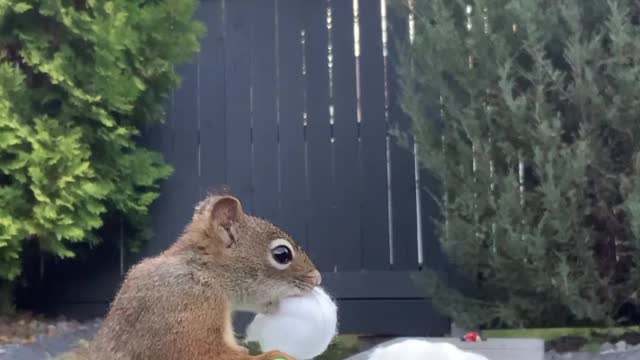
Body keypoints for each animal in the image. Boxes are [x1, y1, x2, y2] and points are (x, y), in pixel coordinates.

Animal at [77, 193, 322, 358]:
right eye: (282, 254)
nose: (317, 279)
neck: (205, 273)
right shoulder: (188, 304)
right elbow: (205, 353)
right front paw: (276, 355)